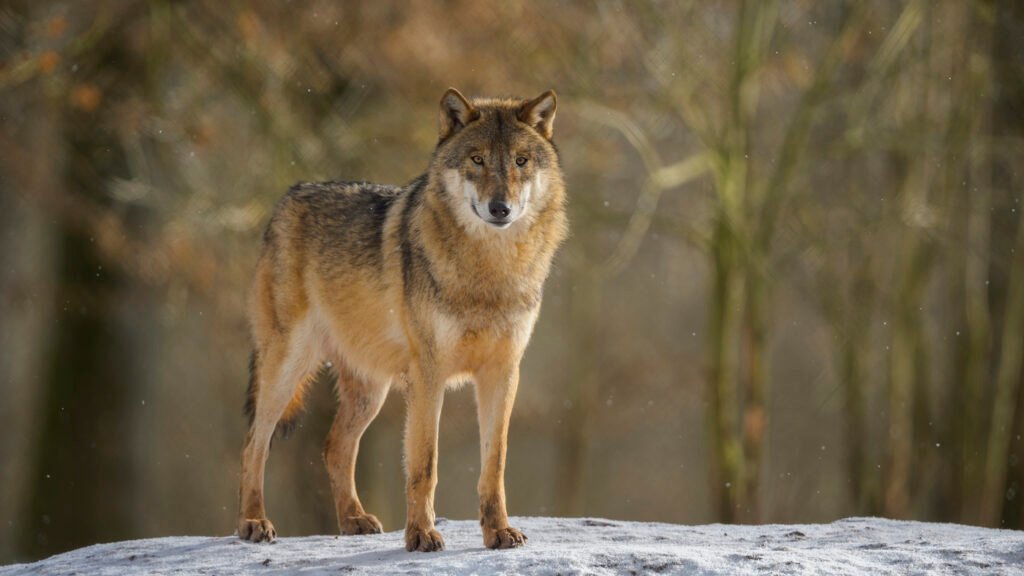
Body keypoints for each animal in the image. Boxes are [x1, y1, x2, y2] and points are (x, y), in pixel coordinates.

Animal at [237, 88, 567, 552]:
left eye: (520, 160)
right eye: (477, 159)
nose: (500, 208)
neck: (488, 272)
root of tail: (289, 195)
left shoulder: (503, 372)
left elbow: (495, 464)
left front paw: (498, 532)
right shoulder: (429, 374)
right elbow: (424, 464)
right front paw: (422, 534)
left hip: (370, 391)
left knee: (334, 447)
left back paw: (353, 519)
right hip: (287, 368)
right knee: (255, 443)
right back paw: (253, 523)